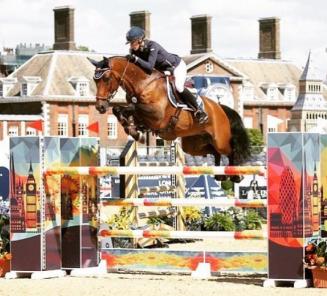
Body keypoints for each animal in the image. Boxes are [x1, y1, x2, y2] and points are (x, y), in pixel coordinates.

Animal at [88, 55, 251, 180]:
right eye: (95, 80)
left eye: (106, 78)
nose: (100, 107)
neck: (144, 84)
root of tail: (220, 107)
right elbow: (121, 110)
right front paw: (134, 131)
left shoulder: (157, 114)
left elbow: (132, 108)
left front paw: (136, 133)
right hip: (194, 145)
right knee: (214, 152)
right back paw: (220, 175)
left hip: (220, 140)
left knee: (230, 150)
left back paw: (236, 176)